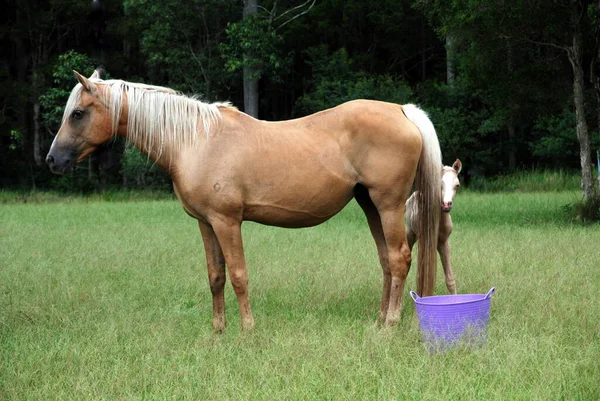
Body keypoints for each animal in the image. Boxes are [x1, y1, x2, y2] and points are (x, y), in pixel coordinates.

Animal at [45, 70, 440, 330]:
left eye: (77, 113)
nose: (52, 160)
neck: (196, 140)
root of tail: (400, 110)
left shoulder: (227, 221)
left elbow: (238, 274)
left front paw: (248, 329)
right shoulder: (205, 223)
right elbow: (215, 275)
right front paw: (218, 330)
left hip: (387, 205)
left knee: (400, 258)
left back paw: (390, 323)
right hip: (369, 205)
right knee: (386, 261)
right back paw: (379, 320)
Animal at [406, 159, 462, 294]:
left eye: (457, 185)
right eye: (439, 183)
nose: (446, 204)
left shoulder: (443, 242)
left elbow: (450, 279)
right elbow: (423, 274)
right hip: (411, 234)